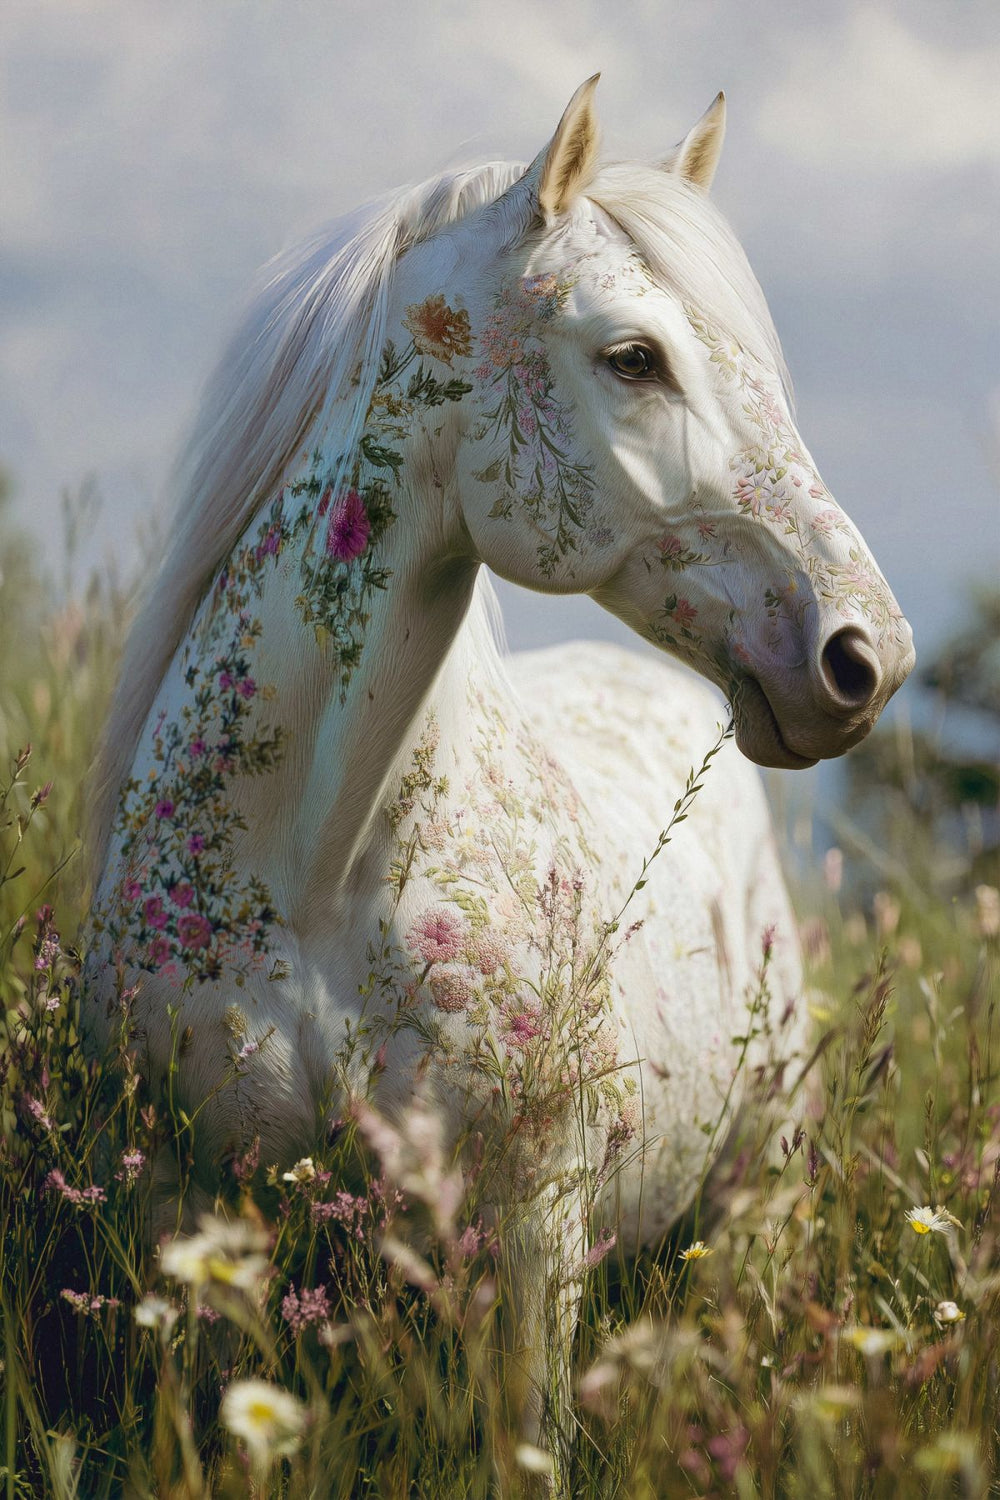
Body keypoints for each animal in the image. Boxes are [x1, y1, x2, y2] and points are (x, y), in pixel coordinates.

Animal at [86, 77, 914, 1445]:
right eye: (633, 357)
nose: (865, 657)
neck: (313, 869)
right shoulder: (183, 1207)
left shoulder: (530, 1233)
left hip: (758, 1197)